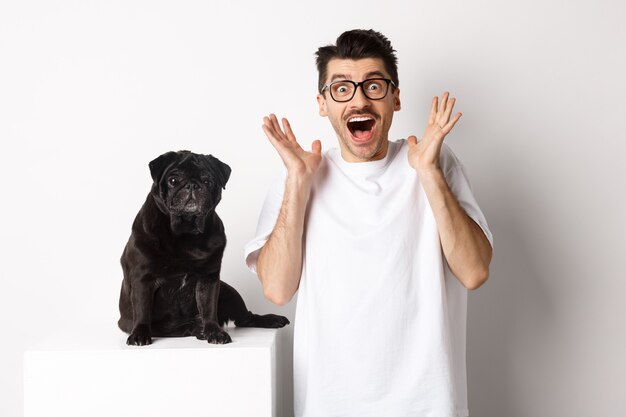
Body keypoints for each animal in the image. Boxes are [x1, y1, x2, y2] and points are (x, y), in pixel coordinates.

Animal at [117, 150, 288, 344]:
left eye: (208, 181)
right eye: (173, 180)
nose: (192, 185)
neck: (186, 232)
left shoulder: (209, 278)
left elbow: (208, 307)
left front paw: (214, 331)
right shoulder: (143, 279)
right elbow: (142, 309)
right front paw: (140, 334)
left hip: (229, 291)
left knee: (246, 318)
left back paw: (269, 319)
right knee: (173, 327)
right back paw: (195, 328)